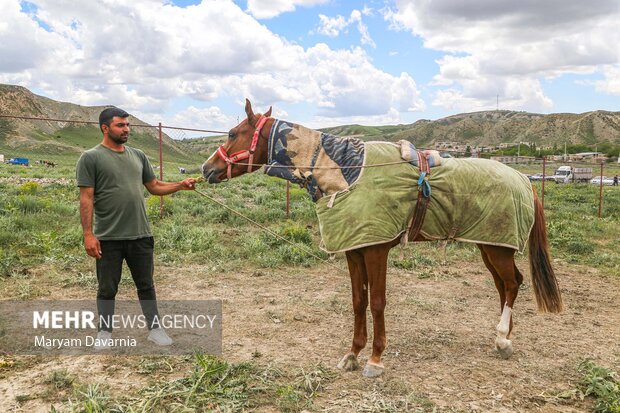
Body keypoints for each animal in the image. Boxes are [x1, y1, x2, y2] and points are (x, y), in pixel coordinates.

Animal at [201, 100, 564, 376]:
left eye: (233, 133)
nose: (207, 168)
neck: (347, 173)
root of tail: (524, 179)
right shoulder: (355, 249)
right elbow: (358, 301)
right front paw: (352, 354)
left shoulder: (376, 251)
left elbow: (376, 302)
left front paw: (375, 359)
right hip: (491, 245)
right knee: (505, 285)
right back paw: (502, 338)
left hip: (497, 247)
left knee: (513, 283)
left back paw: (502, 338)